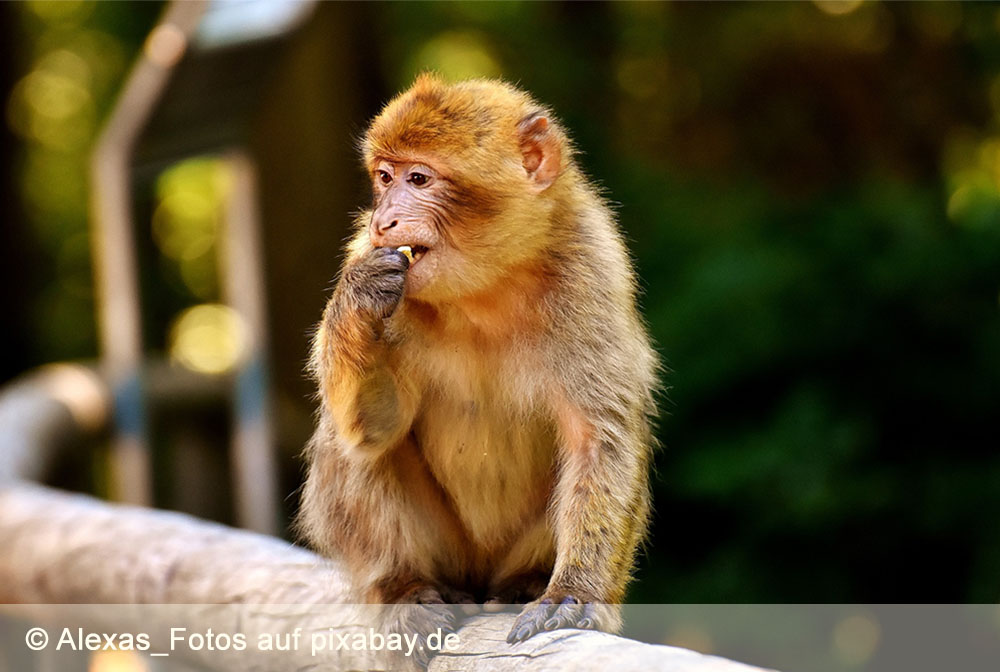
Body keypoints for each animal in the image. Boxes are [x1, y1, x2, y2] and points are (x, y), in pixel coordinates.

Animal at [296, 75, 656, 656]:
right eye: (385, 177)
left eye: (419, 178)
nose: (383, 220)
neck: (485, 287)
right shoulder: (365, 253)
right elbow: (374, 429)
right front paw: (355, 299)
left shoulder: (591, 270)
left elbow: (598, 438)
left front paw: (574, 595)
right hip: (446, 553)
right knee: (350, 446)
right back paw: (402, 588)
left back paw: (525, 583)